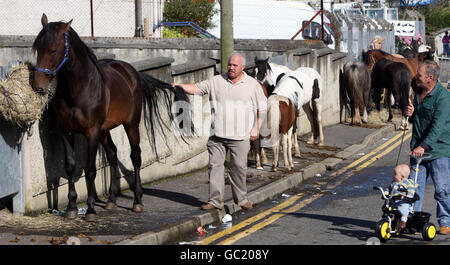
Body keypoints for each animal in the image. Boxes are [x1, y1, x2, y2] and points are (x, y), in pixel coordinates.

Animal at [32, 14, 193, 221]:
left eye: (53, 49)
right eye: (37, 48)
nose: (38, 85)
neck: (78, 90)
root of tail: (132, 73)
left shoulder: (91, 132)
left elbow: (90, 170)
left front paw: (90, 209)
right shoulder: (66, 132)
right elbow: (70, 167)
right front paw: (72, 208)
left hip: (130, 125)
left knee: (136, 157)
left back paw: (137, 201)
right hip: (105, 130)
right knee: (113, 155)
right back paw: (111, 200)